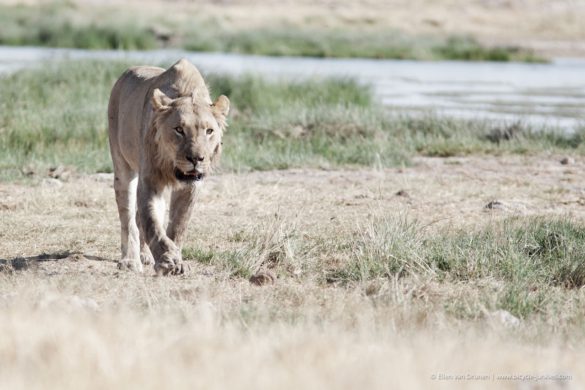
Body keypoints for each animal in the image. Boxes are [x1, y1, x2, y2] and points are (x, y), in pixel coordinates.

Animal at [108, 59, 230, 276]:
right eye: (179, 130)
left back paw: (145, 255)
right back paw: (130, 260)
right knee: (128, 218)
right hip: (122, 166)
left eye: (209, 131)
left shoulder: (190, 187)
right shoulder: (150, 180)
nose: (196, 158)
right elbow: (152, 223)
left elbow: (178, 225)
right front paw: (167, 259)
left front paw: (176, 260)